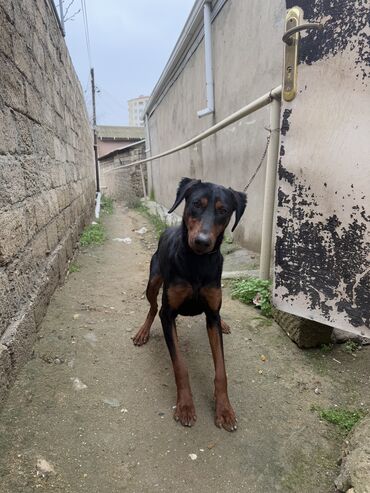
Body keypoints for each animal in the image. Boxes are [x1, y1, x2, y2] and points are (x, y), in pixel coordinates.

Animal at [132, 178, 246, 430]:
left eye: (223, 210)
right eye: (196, 204)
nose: (202, 242)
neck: (197, 262)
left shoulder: (211, 314)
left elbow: (221, 369)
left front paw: (225, 410)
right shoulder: (168, 315)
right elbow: (180, 366)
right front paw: (185, 406)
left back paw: (225, 323)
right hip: (153, 281)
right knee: (153, 307)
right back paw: (143, 332)